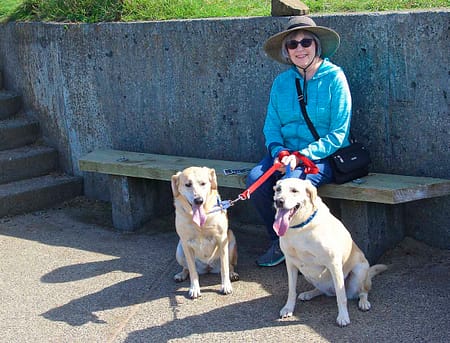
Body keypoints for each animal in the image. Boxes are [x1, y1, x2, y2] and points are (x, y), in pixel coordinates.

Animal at [272, 179, 384, 326]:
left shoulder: (334, 264)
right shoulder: (290, 263)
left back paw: (363, 302)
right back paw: (309, 293)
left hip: (359, 271)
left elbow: (341, 297)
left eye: (294, 190)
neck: (300, 227)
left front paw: (343, 316)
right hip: (308, 274)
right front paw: (288, 308)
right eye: (278, 189)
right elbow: (291, 290)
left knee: (362, 291)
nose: (278, 201)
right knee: (322, 290)